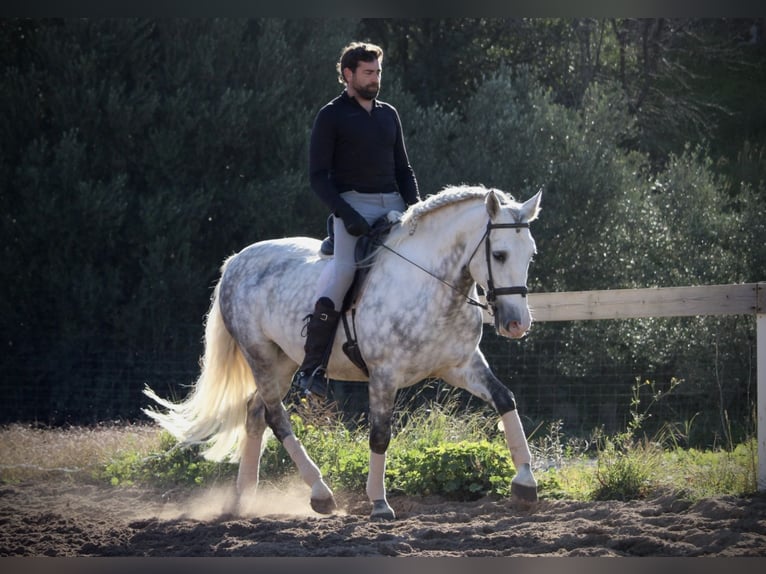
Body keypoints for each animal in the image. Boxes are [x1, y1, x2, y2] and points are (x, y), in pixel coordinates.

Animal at [143, 184, 542, 520]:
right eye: (499, 254)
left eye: (530, 255)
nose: (517, 324)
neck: (430, 285)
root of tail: (236, 261)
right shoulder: (384, 375)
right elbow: (380, 434)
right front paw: (379, 503)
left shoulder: (462, 365)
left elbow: (505, 399)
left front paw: (525, 483)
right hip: (260, 356)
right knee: (276, 417)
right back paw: (320, 493)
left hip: (284, 361)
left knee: (255, 413)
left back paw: (244, 498)